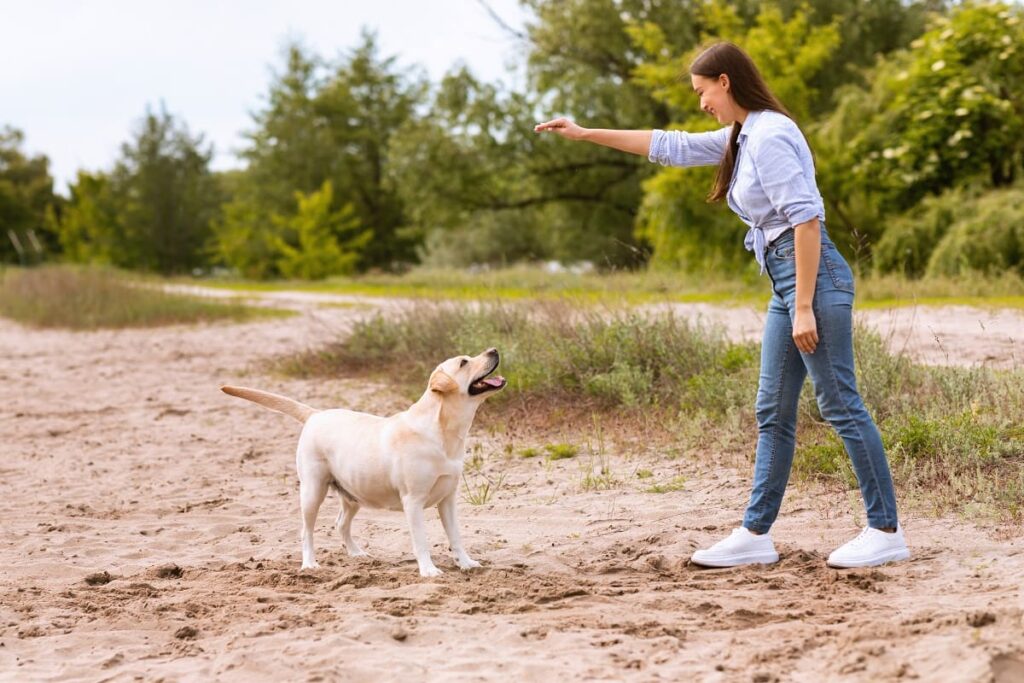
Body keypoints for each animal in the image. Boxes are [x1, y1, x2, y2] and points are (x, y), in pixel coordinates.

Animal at [221, 348, 503, 577]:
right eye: (464, 362)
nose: (494, 349)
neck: (443, 431)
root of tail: (315, 414)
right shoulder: (413, 501)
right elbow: (421, 541)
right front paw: (428, 570)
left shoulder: (448, 499)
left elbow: (456, 536)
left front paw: (466, 563)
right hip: (312, 491)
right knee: (306, 531)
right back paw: (309, 564)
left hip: (353, 494)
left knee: (340, 524)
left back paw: (356, 554)